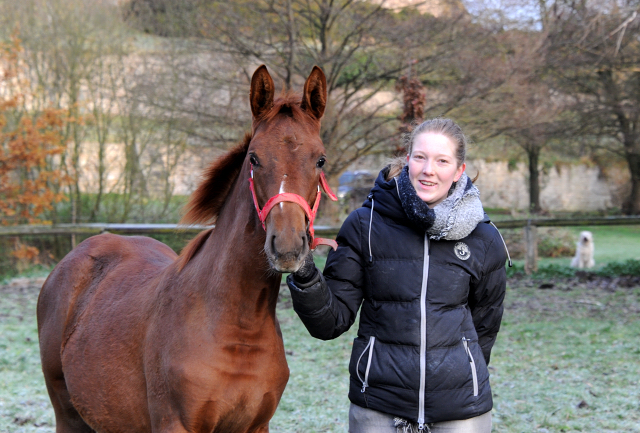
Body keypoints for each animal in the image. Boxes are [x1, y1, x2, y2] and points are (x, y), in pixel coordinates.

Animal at [36, 65, 336, 432]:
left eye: (320, 160)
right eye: (254, 158)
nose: (288, 247)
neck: (239, 326)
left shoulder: (256, 425)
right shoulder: (174, 423)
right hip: (68, 415)